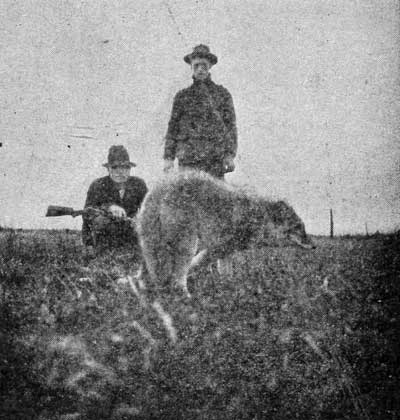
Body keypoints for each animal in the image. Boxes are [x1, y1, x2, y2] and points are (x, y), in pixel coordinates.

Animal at [136, 169, 314, 296]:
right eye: (298, 227)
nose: (314, 246)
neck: (259, 216)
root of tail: (160, 192)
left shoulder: (225, 250)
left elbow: (225, 270)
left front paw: (227, 285)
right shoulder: (218, 248)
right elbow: (198, 263)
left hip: (150, 242)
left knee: (151, 268)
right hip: (187, 244)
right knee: (178, 275)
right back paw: (184, 294)